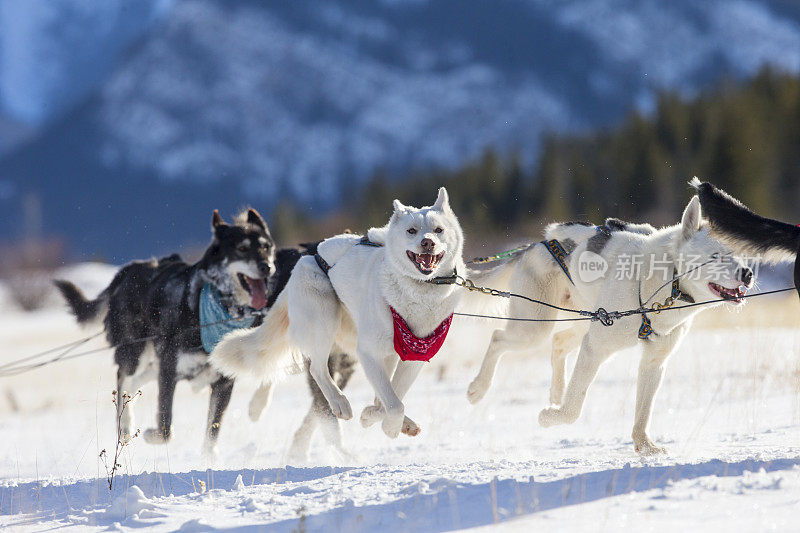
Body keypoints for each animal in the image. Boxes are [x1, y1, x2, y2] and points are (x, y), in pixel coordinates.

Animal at [55, 207, 276, 454]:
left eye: (267, 247)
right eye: (242, 248)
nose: (266, 267)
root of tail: (129, 269)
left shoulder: (223, 383)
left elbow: (212, 433)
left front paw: (209, 459)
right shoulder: (169, 372)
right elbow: (165, 427)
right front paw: (151, 434)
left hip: (155, 361)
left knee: (135, 382)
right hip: (136, 353)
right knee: (123, 380)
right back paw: (126, 426)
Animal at [209, 187, 466, 436]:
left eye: (438, 230)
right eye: (411, 231)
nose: (428, 242)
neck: (421, 292)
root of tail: (307, 258)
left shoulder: (415, 356)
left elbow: (392, 396)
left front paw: (377, 416)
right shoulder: (368, 352)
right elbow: (394, 405)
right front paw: (390, 427)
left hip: (380, 350)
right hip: (324, 321)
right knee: (318, 369)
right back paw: (340, 402)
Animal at [466, 191, 752, 454]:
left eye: (740, 256)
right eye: (715, 256)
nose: (748, 274)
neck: (664, 283)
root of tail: (535, 245)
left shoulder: (654, 361)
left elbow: (643, 410)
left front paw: (644, 446)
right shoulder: (595, 347)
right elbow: (574, 407)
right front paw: (550, 417)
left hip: (585, 320)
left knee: (558, 342)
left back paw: (556, 392)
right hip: (536, 327)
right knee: (498, 337)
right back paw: (479, 388)